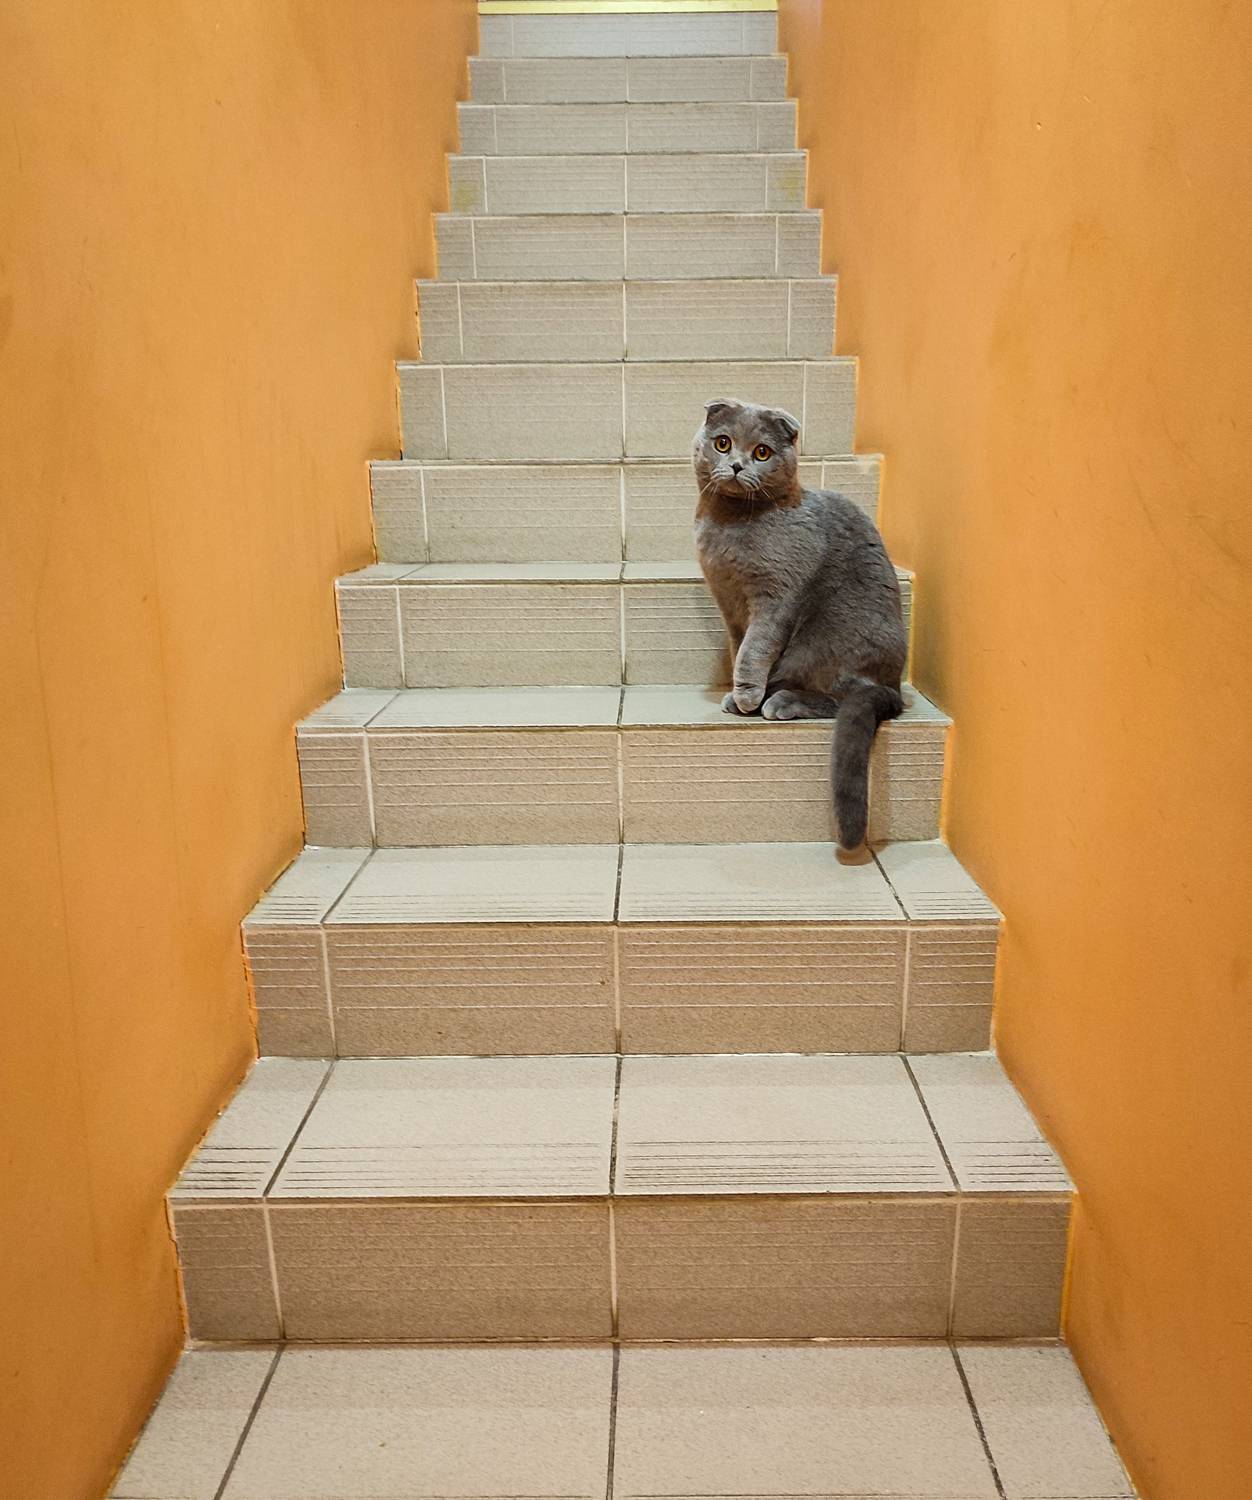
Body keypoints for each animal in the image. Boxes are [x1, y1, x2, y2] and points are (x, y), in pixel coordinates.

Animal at [692, 397, 907, 863]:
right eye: (723, 443)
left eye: (762, 452)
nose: (736, 465)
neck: (728, 527)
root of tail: (894, 686)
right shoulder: (728, 602)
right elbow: (738, 647)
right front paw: (738, 694)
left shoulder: (776, 599)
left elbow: (754, 649)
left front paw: (746, 694)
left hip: (825, 638)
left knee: (839, 696)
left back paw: (780, 701)